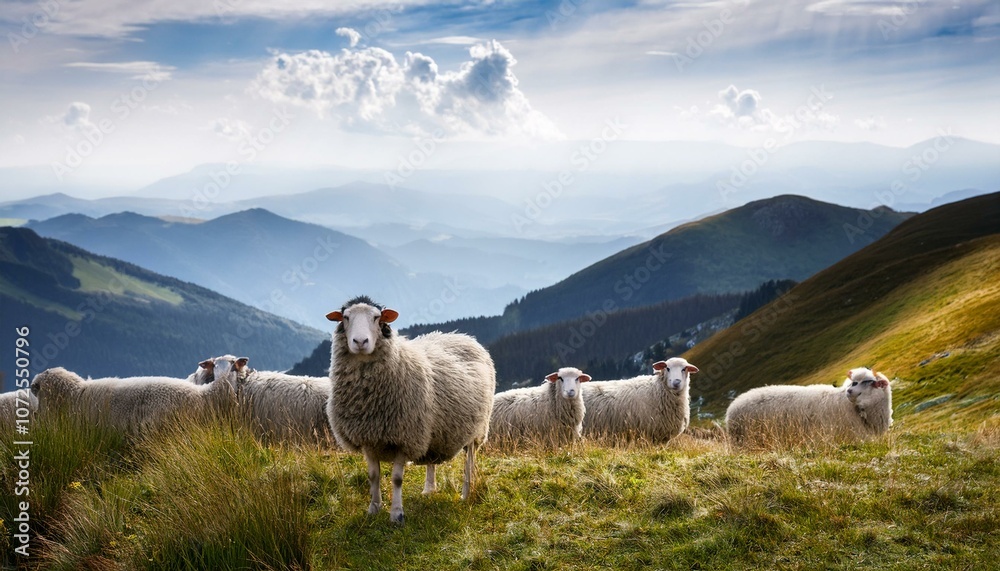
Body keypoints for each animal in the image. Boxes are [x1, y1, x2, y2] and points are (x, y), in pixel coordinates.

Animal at [325, 295, 495, 524]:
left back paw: (465, 493)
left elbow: (397, 479)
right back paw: (429, 489)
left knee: (470, 462)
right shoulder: (368, 438)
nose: (360, 342)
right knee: (432, 459)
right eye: (345, 317)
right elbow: (373, 476)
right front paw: (373, 509)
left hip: (477, 429)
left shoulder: (405, 438)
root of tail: (464, 337)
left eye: (377, 317)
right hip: (432, 429)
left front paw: (397, 514)